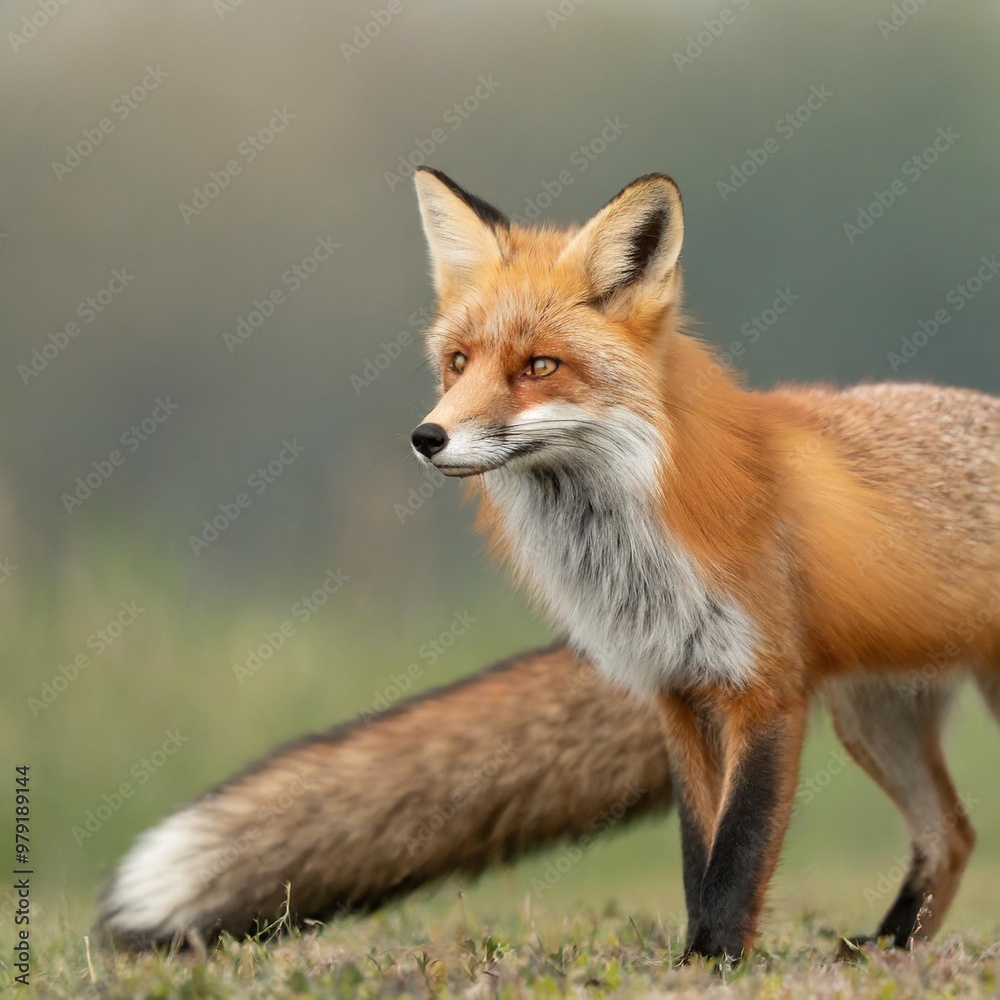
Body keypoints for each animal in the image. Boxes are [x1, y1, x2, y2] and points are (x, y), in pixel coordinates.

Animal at [406, 168, 1000, 962]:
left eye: (540, 367)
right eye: (458, 363)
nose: (428, 437)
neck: (636, 564)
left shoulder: (767, 690)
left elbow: (738, 851)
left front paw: (713, 960)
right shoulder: (678, 692)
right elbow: (698, 849)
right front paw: (698, 957)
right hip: (873, 717)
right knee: (953, 834)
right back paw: (889, 947)